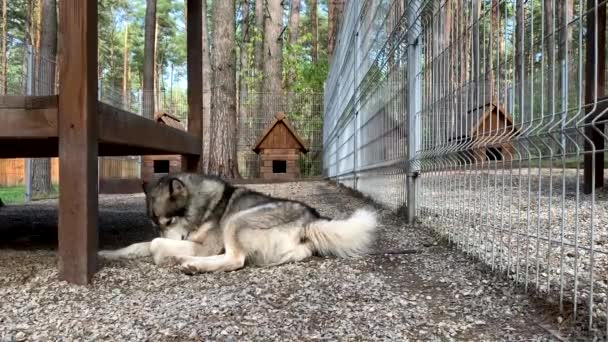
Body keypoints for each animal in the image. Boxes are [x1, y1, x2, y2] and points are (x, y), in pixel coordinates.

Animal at [99, 172, 376, 274]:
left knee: (235, 260)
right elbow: (140, 244)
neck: (203, 207)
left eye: (169, 220)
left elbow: (155, 245)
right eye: (156, 223)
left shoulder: (205, 245)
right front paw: (106, 253)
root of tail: (311, 219)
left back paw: (191, 263)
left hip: (236, 220)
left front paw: (163, 255)